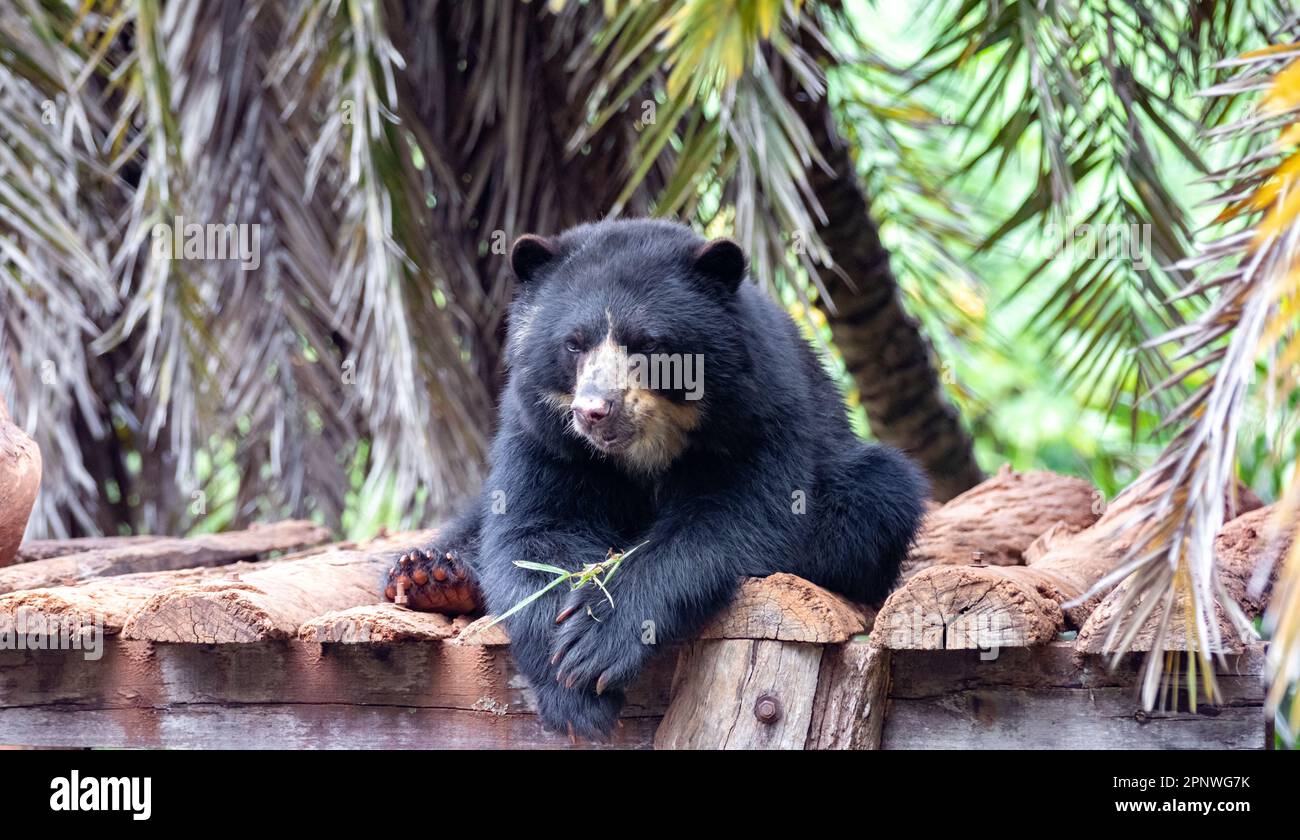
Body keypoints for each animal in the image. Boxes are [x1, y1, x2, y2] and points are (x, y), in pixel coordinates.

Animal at [383, 219, 928, 740]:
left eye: (646, 345)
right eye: (573, 345)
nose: (593, 411)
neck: (643, 445)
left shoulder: (758, 416)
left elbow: (729, 521)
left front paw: (593, 648)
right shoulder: (543, 433)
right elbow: (537, 529)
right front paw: (571, 692)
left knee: (877, 496)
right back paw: (432, 575)